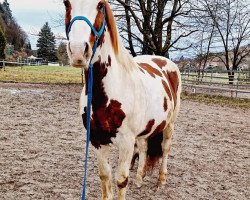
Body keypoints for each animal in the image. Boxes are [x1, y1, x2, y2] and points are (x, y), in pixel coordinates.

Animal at [63, 0, 182, 199]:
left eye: (99, 5)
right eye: (66, 3)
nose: (78, 51)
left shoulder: (126, 142)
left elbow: (121, 180)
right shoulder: (96, 139)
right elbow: (105, 176)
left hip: (169, 125)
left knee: (165, 148)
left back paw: (161, 180)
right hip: (145, 129)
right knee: (143, 148)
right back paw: (140, 179)